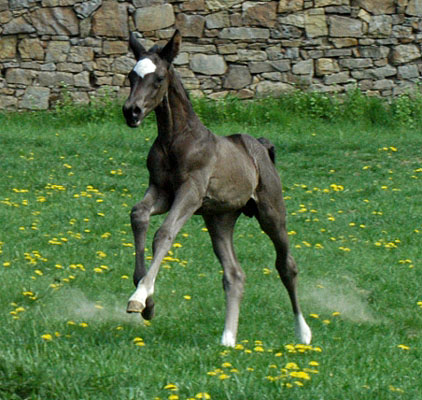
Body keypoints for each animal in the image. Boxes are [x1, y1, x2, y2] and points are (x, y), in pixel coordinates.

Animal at [120, 30, 312, 346]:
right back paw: (228, 339)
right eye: (131, 76)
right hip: (220, 218)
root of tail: (261, 146)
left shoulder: (191, 192)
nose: (131, 112)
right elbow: (138, 215)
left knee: (287, 266)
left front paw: (140, 296)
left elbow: (164, 233)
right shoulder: (161, 191)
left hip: (271, 213)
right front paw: (148, 302)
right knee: (234, 274)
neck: (175, 140)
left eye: (158, 78)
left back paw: (303, 332)